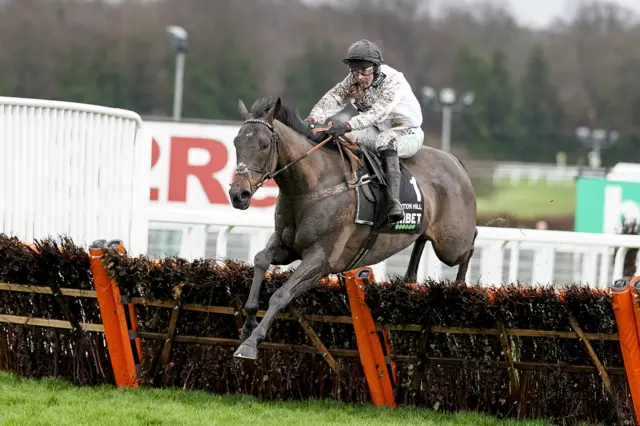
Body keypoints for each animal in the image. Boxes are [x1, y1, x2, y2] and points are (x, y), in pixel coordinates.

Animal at [226, 96, 476, 360]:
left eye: (264, 145)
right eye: (236, 143)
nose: (239, 194)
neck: (311, 185)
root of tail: (455, 161)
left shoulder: (321, 259)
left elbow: (281, 294)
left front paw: (250, 343)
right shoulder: (286, 246)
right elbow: (261, 259)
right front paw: (248, 324)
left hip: (451, 245)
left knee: (470, 246)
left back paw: (460, 287)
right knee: (422, 239)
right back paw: (410, 277)